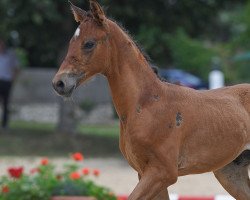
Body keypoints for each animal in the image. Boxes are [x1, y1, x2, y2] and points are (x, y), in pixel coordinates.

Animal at [51, 0, 249, 199]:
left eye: (89, 44)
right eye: (71, 43)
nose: (59, 83)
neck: (146, 104)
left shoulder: (163, 173)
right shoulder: (146, 173)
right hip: (230, 172)